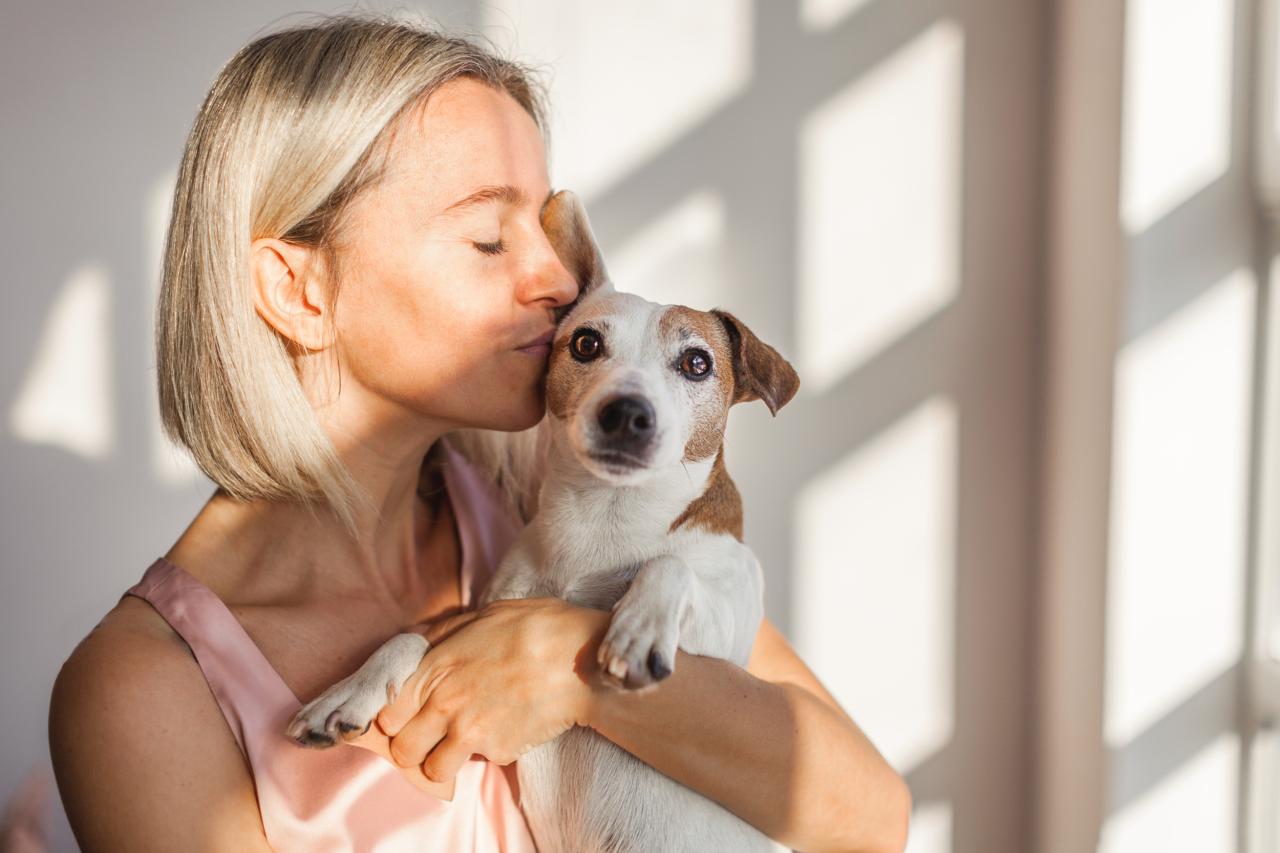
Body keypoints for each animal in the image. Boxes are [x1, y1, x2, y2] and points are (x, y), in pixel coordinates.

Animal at [288, 189, 798, 845]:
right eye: (585, 344)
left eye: (696, 362)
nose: (626, 413)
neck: (601, 521)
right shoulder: (482, 615)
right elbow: (409, 633)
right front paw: (349, 690)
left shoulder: (729, 628)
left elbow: (670, 567)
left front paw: (640, 624)